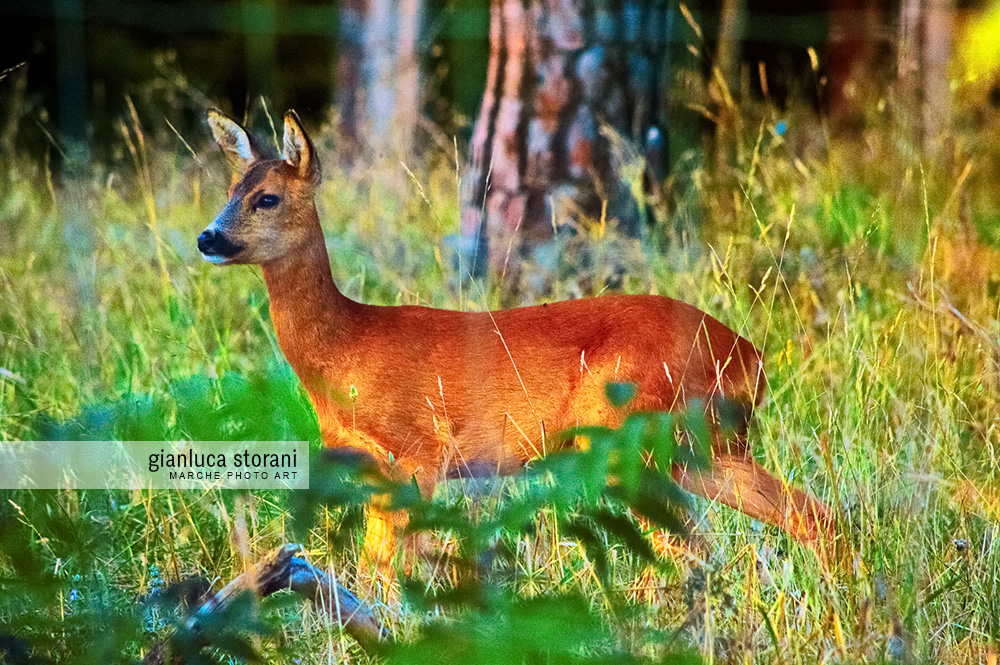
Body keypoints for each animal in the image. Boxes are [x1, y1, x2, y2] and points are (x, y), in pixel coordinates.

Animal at [199, 111, 832, 592]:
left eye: (267, 198)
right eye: (229, 192)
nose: (208, 237)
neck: (348, 349)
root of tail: (750, 358)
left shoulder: (422, 449)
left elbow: (400, 566)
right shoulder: (376, 465)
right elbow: (373, 566)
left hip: (633, 431)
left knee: (689, 544)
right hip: (701, 445)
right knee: (802, 515)